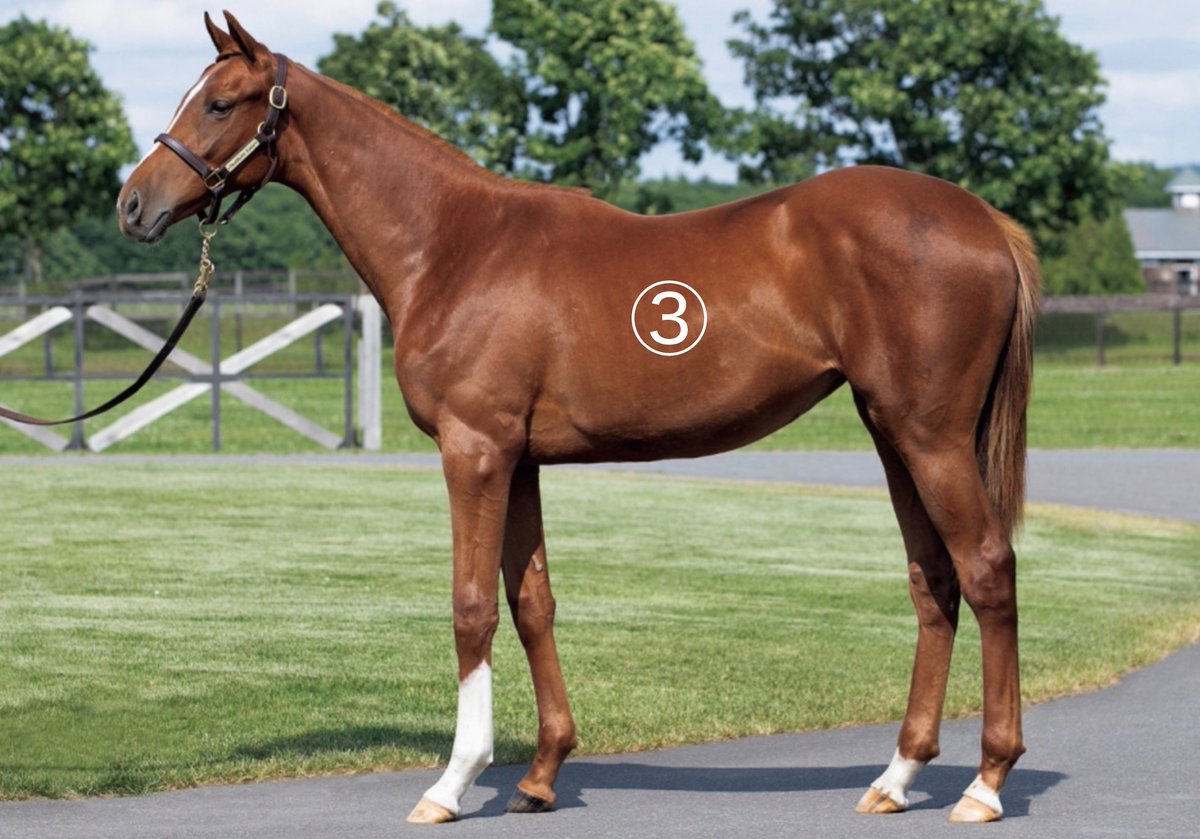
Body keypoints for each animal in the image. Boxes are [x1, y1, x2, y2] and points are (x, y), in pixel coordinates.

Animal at [117, 12, 1039, 826]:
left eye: (221, 102)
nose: (132, 204)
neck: (453, 245)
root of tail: (985, 220)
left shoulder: (474, 451)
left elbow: (471, 606)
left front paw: (453, 782)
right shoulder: (518, 459)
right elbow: (532, 602)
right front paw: (540, 776)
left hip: (931, 437)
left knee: (988, 569)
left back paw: (984, 784)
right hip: (892, 433)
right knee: (934, 582)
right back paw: (898, 776)